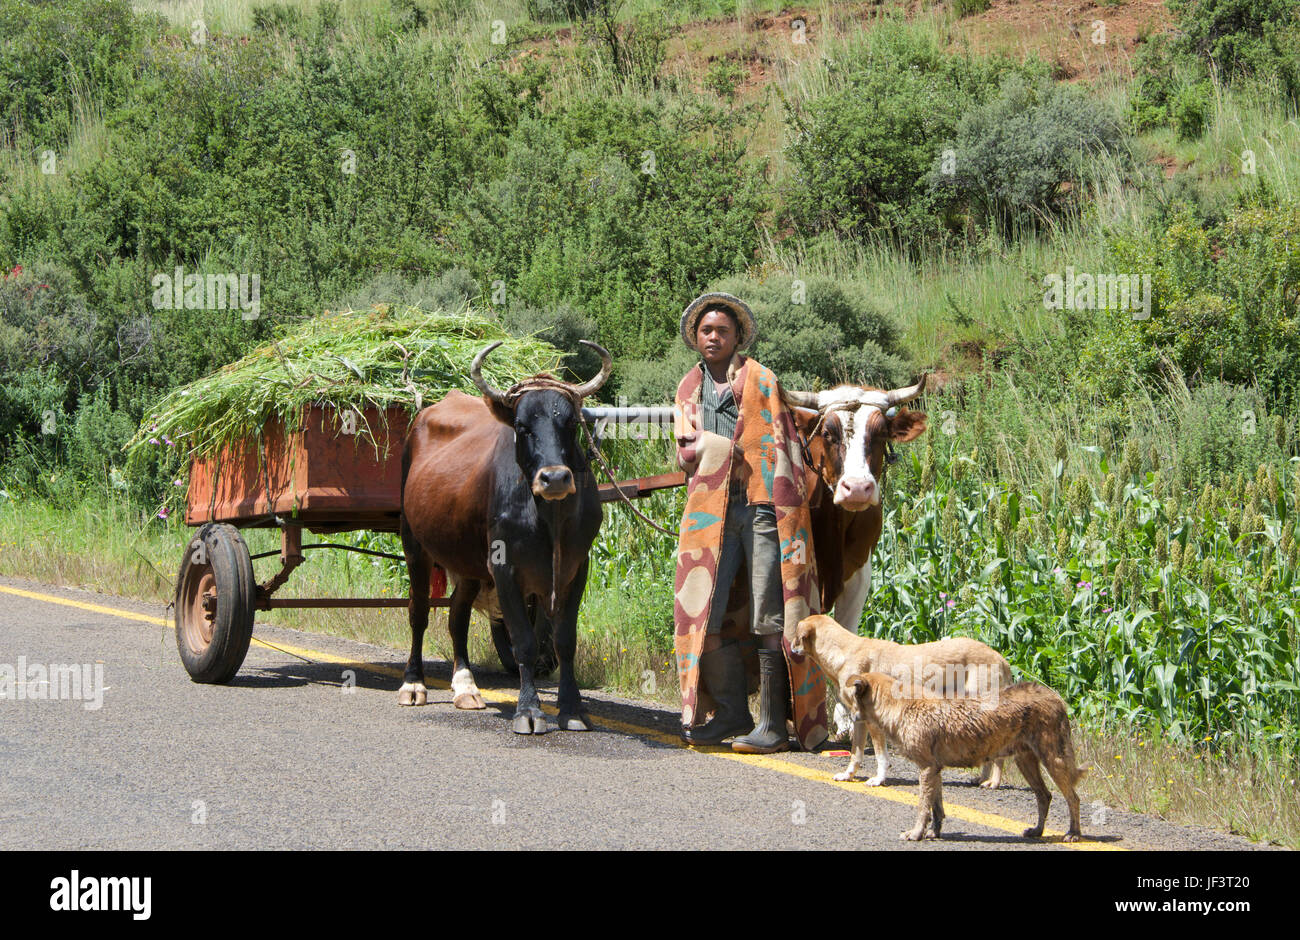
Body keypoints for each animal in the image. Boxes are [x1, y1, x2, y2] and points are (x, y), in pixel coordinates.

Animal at [785, 613, 1008, 790]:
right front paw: (848, 775)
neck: (842, 652)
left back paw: (993, 782)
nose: (789, 646)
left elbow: (881, 757)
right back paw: (981, 778)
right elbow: (856, 754)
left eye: (796, 632)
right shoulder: (860, 719)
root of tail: (1001, 658)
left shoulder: (874, 721)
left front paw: (878, 780)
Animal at [842, 670, 1086, 842]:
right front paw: (933, 833)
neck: (898, 707)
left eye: (852, 699)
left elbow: (923, 807)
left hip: (1053, 761)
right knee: (1045, 796)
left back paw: (1073, 833)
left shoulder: (926, 769)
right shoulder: (935, 770)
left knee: (1073, 798)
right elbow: (937, 808)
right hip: (1025, 762)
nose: (850, 719)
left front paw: (915, 834)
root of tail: (1055, 696)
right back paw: (1037, 831)